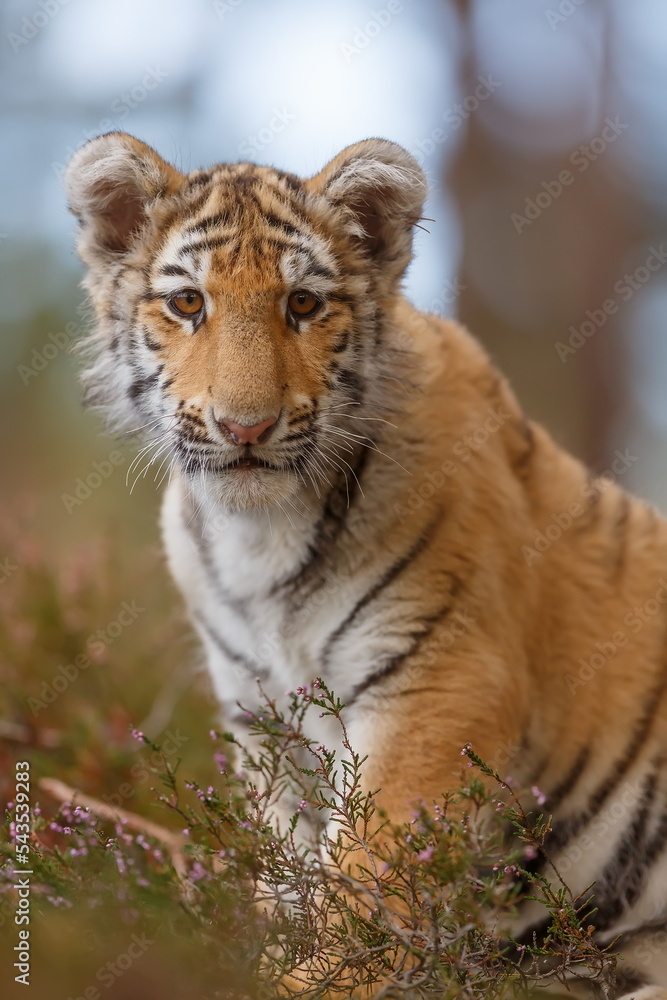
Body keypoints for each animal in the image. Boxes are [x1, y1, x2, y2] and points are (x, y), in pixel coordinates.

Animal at [64, 131, 667, 999]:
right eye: (187, 305)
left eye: (302, 305)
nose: (245, 427)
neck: (260, 535)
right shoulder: (262, 725)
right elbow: (289, 878)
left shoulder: (438, 687)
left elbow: (362, 891)